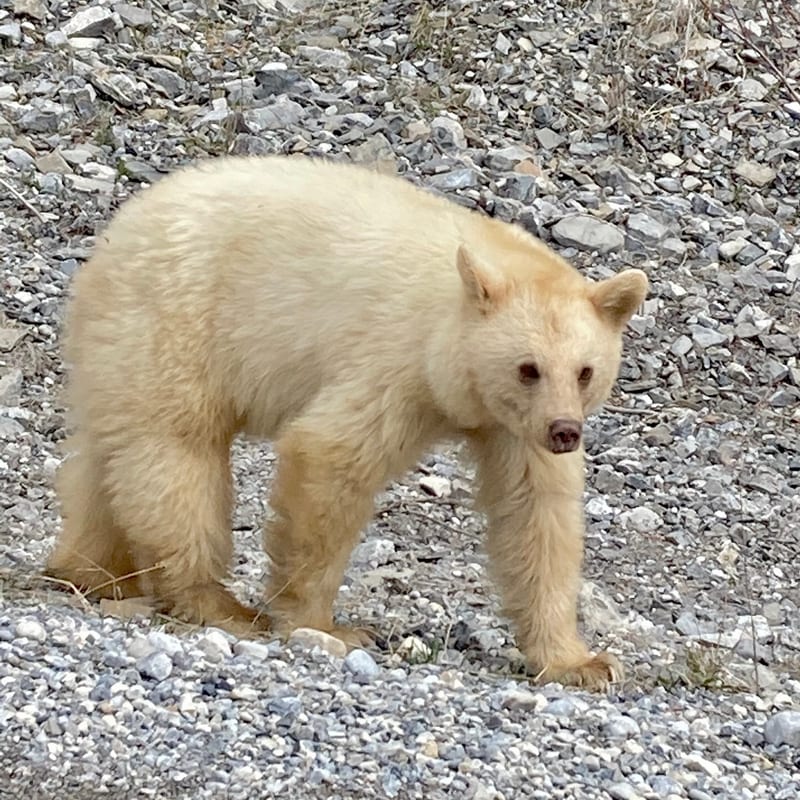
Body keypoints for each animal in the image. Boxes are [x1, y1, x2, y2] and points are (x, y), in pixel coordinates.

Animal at [47, 154, 648, 690]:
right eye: (528, 368)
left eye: (585, 371)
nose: (564, 431)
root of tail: (115, 234)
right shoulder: (395, 359)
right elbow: (332, 456)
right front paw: (324, 625)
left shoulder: (512, 427)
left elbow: (536, 511)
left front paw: (581, 662)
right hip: (174, 324)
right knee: (176, 456)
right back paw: (213, 601)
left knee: (108, 459)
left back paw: (90, 571)